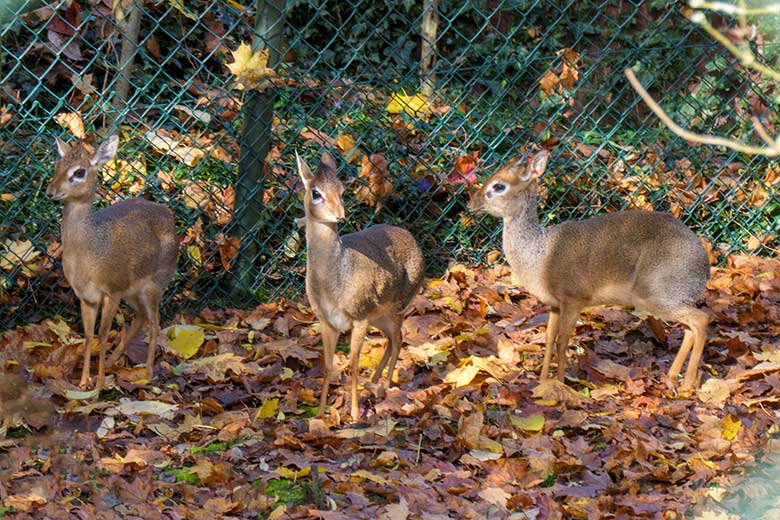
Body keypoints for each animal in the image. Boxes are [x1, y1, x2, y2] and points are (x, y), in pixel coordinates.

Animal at [47, 136, 178, 388]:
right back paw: (111, 361)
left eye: (79, 172)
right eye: (56, 166)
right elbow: (89, 335)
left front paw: (98, 385)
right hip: (133, 292)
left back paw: (147, 374)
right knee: (141, 316)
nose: (50, 192)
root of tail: (168, 215)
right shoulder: (86, 297)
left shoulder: (112, 291)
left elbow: (103, 333)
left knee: (155, 321)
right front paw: (84, 382)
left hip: (155, 285)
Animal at [296, 150, 424, 418]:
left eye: (342, 190)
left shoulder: (359, 318)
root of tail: (414, 241)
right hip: (380, 316)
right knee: (390, 340)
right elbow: (328, 366)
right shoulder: (327, 321)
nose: (339, 214)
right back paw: (373, 383)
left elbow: (353, 364)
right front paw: (320, 414)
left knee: (398, 340)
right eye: (316, 192)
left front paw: (354, 414)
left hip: (396, 308)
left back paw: (386, 386)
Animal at [470, 149, 712, 390]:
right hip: (671, 298)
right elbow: (549, 338)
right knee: (690, 328)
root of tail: (704, 265)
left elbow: (563, 340)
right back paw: (671, 377)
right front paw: (541, 383)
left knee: (701, 321)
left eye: (499, 186)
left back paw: (687, 385)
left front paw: (560, 385)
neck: (539, 256)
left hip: (657, 294)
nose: (472, 203)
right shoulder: (554, 304)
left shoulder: (573, 299)